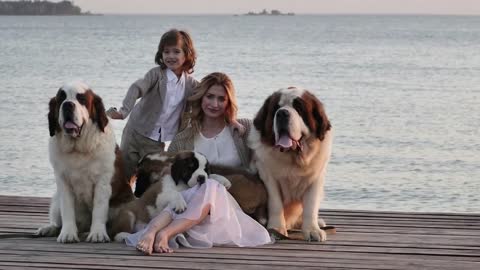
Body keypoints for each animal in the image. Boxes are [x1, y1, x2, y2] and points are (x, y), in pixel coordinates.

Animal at [36, 81, 134, 243]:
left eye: (81, 99)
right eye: (61, 98)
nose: (68, 105)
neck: (78, 149)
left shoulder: (102, 182)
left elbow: (99, 210)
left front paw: (98, 234)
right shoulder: (63, 182)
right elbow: (67, 210)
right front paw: (68, 234)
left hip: (125, 206)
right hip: (56, 202)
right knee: (58, 220)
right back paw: (49, 229)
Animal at [249, 87, 332, 243]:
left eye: (299, 108)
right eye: (276, 108)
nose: (282, 113)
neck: (293, 158)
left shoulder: (316, 178)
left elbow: (311, 206)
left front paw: (312, 230)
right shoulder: (268, 176)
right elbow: (275, 203)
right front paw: (276, 228)